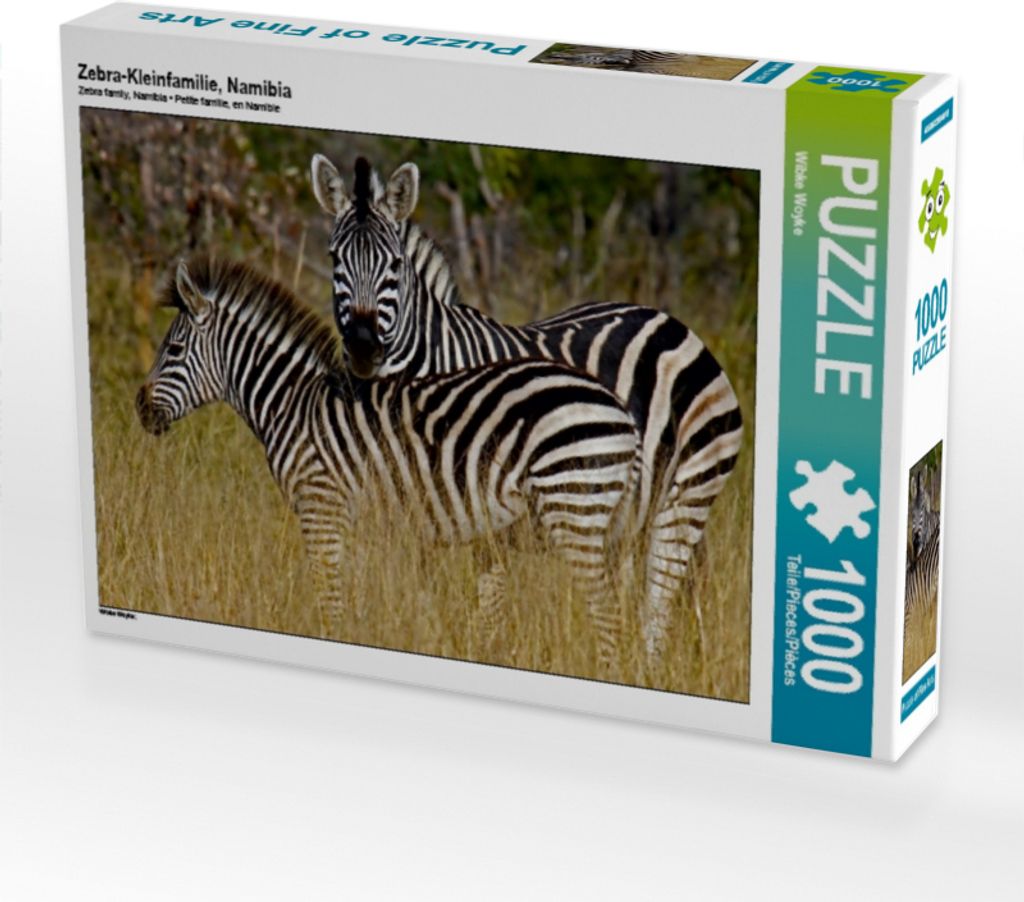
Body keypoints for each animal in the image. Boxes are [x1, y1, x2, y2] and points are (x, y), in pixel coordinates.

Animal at [136, 256, 642, 665]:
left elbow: (329, 594)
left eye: (173, 350)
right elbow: (355, 594)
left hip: (572, 506)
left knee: (606, 611)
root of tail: (619, 410)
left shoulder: (320, 505)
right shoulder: (356, 520)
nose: (140, 409)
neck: (292, 404)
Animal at [310, 154, 744, 659]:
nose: (363, 347)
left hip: (687, 491)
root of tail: (669, 320)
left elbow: (486, 597)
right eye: (333, 259)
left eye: (395, 265)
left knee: (658, 598)